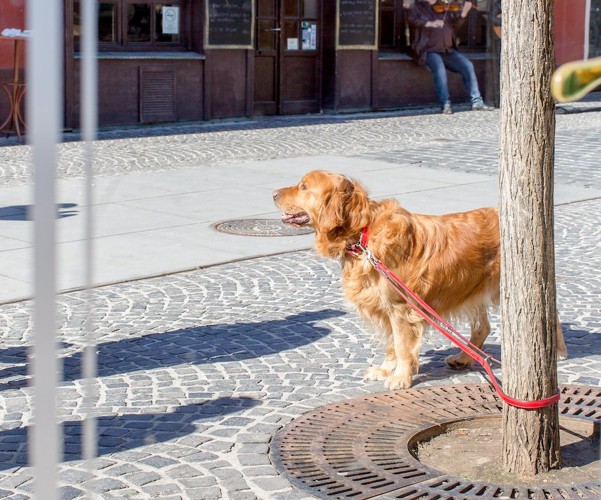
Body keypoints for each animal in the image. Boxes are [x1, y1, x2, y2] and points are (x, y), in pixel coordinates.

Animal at [274, 170, 568, 388]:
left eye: (303, 186)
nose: (274, 193)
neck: (363, 234)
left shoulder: (402, 308)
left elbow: (402, 346)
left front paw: (401, 378)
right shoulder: (387, 309)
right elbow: (391, 344)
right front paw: (387, 369)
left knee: (549, 315)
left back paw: (556, 351)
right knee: (483, 327)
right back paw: (464, 357)